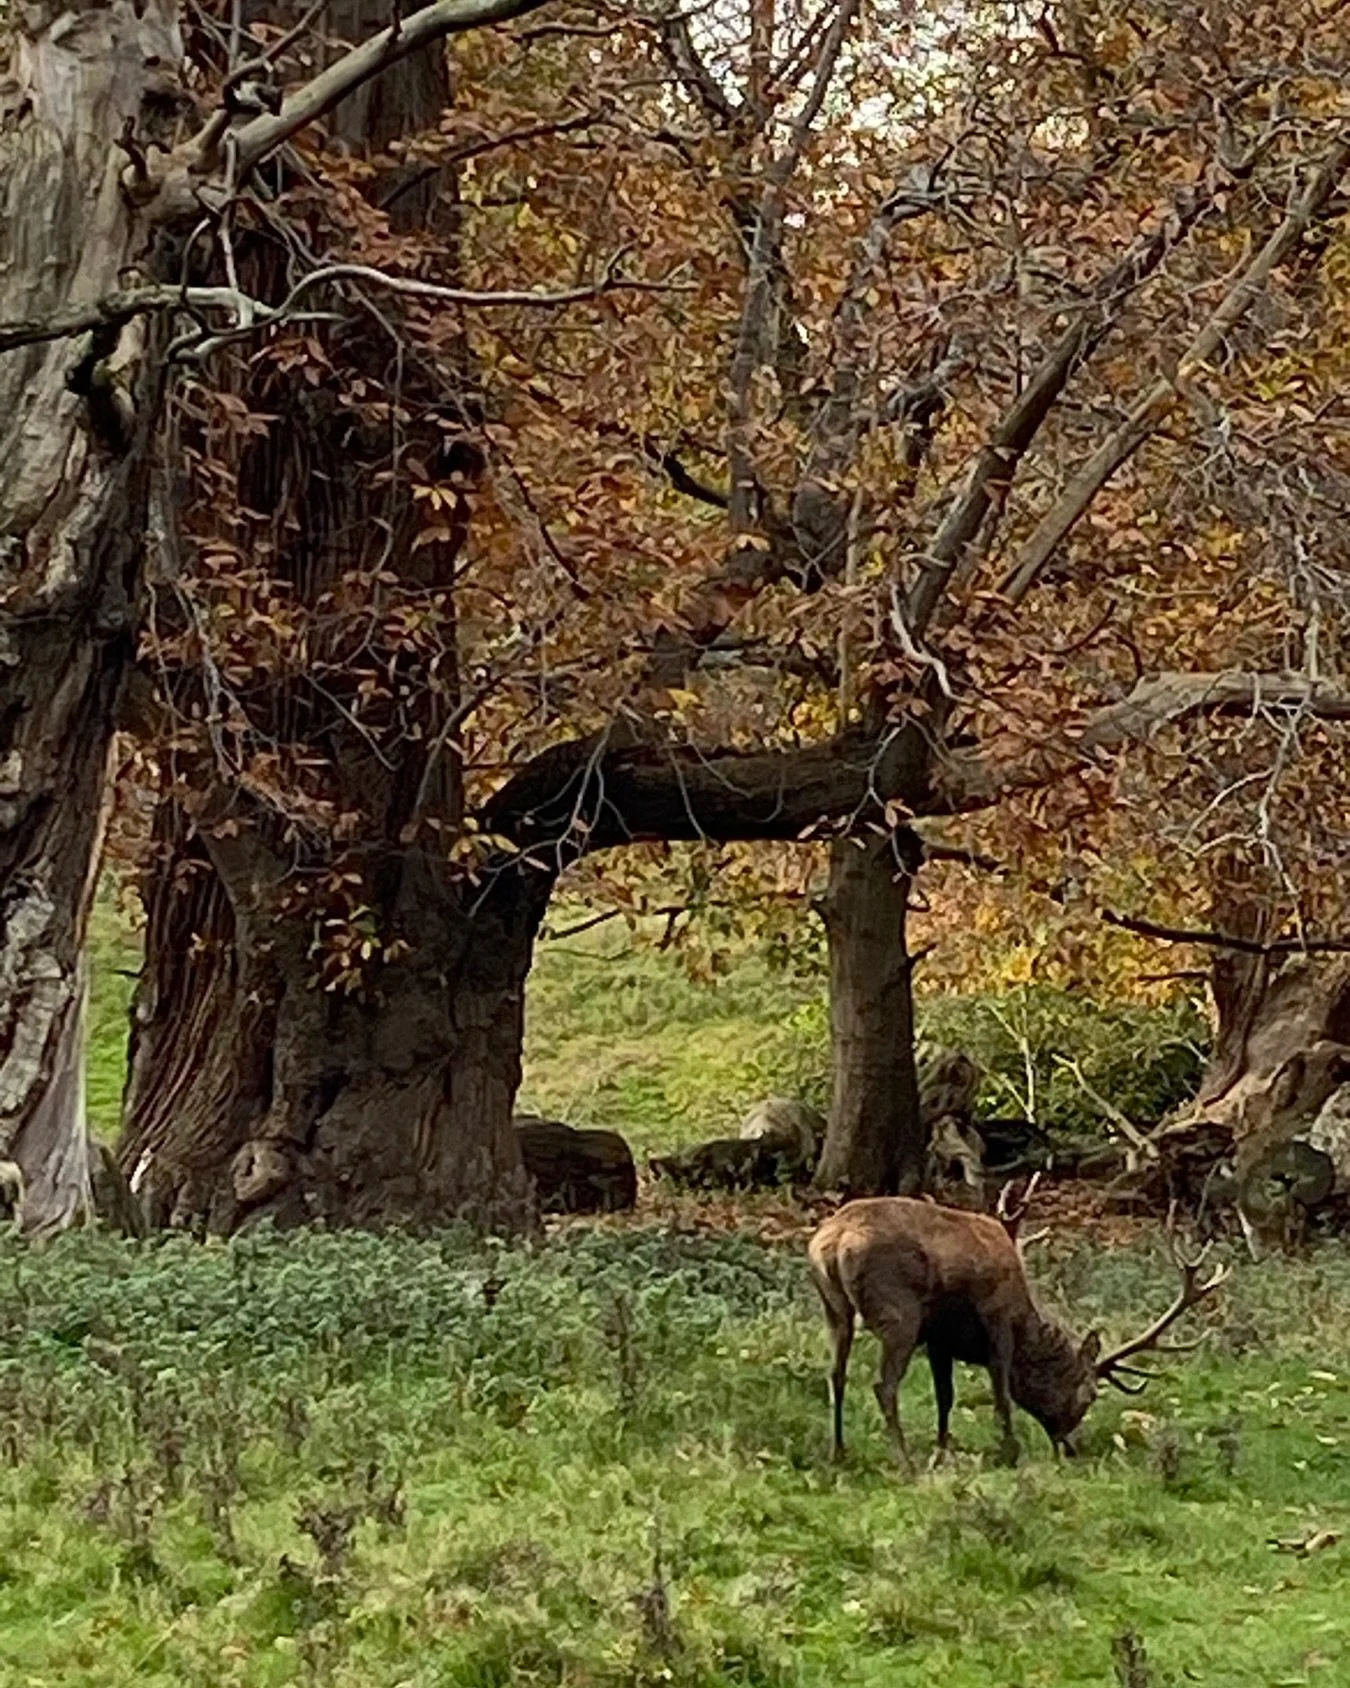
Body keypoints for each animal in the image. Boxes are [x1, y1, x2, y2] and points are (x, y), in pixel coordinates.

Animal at [807, 1180, 1227, 1470]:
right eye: (1090, 1395)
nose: (1072, 1447)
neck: (1026, 1323)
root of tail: (833, 1241)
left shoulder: (939, 1338)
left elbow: (946, 1396)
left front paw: (943, 1452)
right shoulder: (996, 1320)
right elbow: (1002, 1391)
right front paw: (1010, 1452)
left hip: (834, 1309)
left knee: (835, 1374)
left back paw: (838, 1452)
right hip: (899, 1312)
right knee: (884, 1384)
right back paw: (905, 1462)